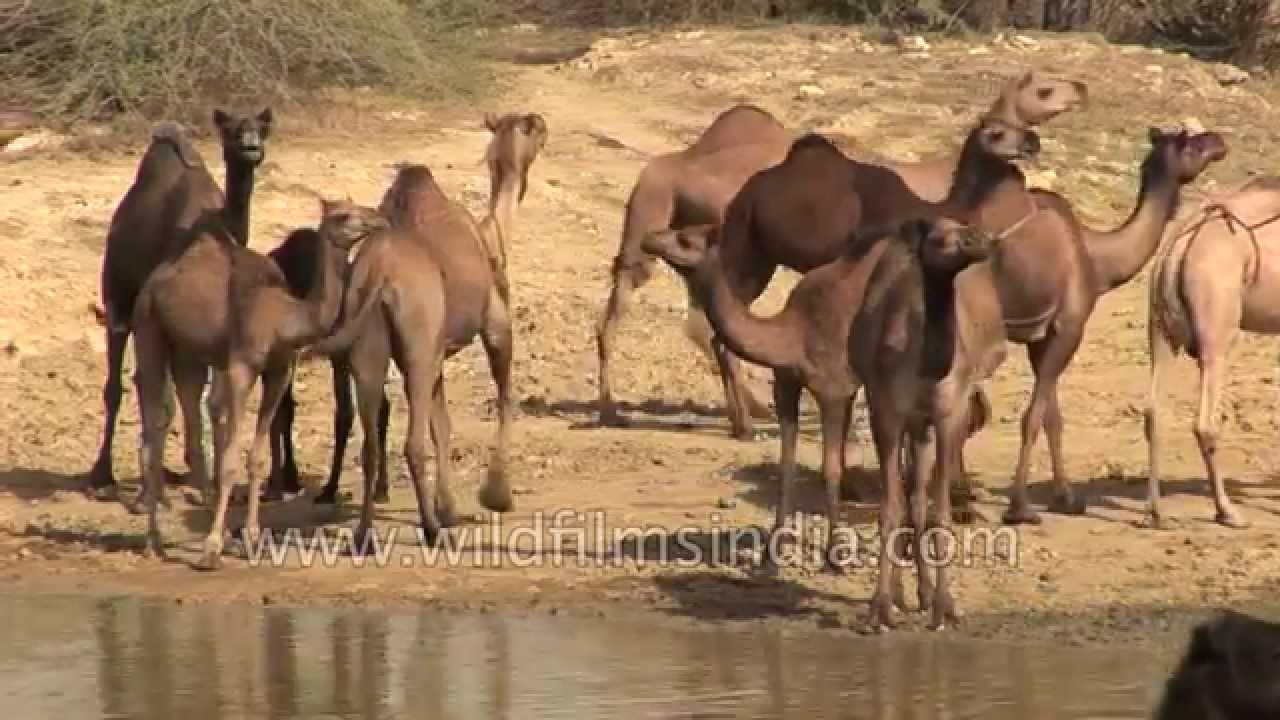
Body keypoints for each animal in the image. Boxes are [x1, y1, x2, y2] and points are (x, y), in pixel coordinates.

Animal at [87, 109, 272, 501]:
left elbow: (214, 400)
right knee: (121, 383)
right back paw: (105, 474)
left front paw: (215, 482)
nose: (251, 148)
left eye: (262, 128)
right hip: (118, 299)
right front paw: (153, 492)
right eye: (232, 130)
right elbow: (169, 397)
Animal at [130, 198, 386, 567]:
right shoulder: (241, 367)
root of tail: (156, 279)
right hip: (148, 327)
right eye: (342, 215)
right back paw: (154, 541)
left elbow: (257, 456)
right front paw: (210, 548)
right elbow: (230, 460)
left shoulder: (279, 372)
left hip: (189, 354)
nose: (377, 221)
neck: (281, 319)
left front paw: (251, 540)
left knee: (189, 423)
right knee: (154, 426)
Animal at [309, 163, 518, 546]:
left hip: (371, 352)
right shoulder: (492, 317)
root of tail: (380, 273)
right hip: (419, 350)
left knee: (371, 442)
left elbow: (442, 425)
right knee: (413, 444)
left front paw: (449, 508)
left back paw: (364, 536)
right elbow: (501, 400)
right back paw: (432, 530)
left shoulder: (434, 351)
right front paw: (494, 496)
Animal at [1144, 175, 1280, 529]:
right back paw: (1227, 512)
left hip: (1160, 331)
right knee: (1205, 424)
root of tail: (1180, 246)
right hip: (1218, 331)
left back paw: (1156, 512)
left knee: (1152, 412)